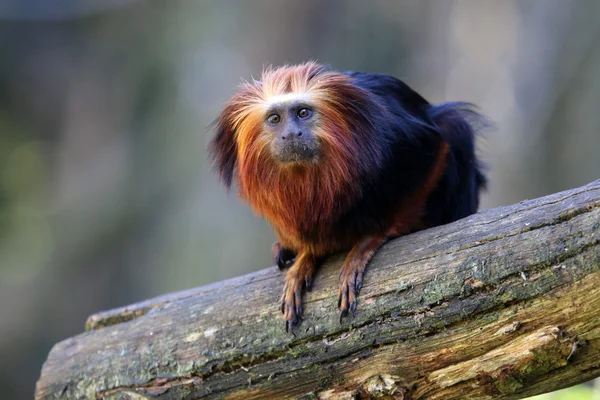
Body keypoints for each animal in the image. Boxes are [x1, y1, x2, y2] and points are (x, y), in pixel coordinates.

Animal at [209, 62, 486, 332]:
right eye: (275, 118)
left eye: (303, 113)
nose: (291, 134)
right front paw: (307, 255)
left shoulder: (400, 134)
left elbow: (437, 147)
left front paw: (372, 238)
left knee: (455, 125)